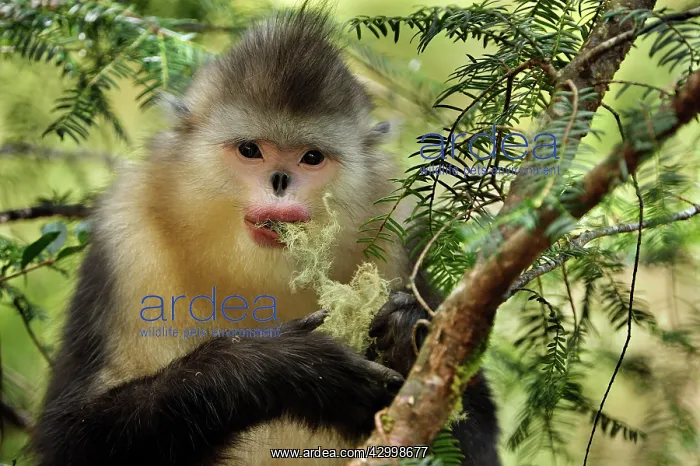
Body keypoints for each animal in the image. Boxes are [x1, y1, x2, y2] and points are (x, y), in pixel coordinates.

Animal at [30, 6, 500, 466]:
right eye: (250, 150)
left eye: (311, 157)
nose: (280, 180)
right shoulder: (124, 238)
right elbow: (70, 438)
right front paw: (286, 366)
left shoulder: (399, 234)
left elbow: (474, 438)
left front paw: (406, 334)